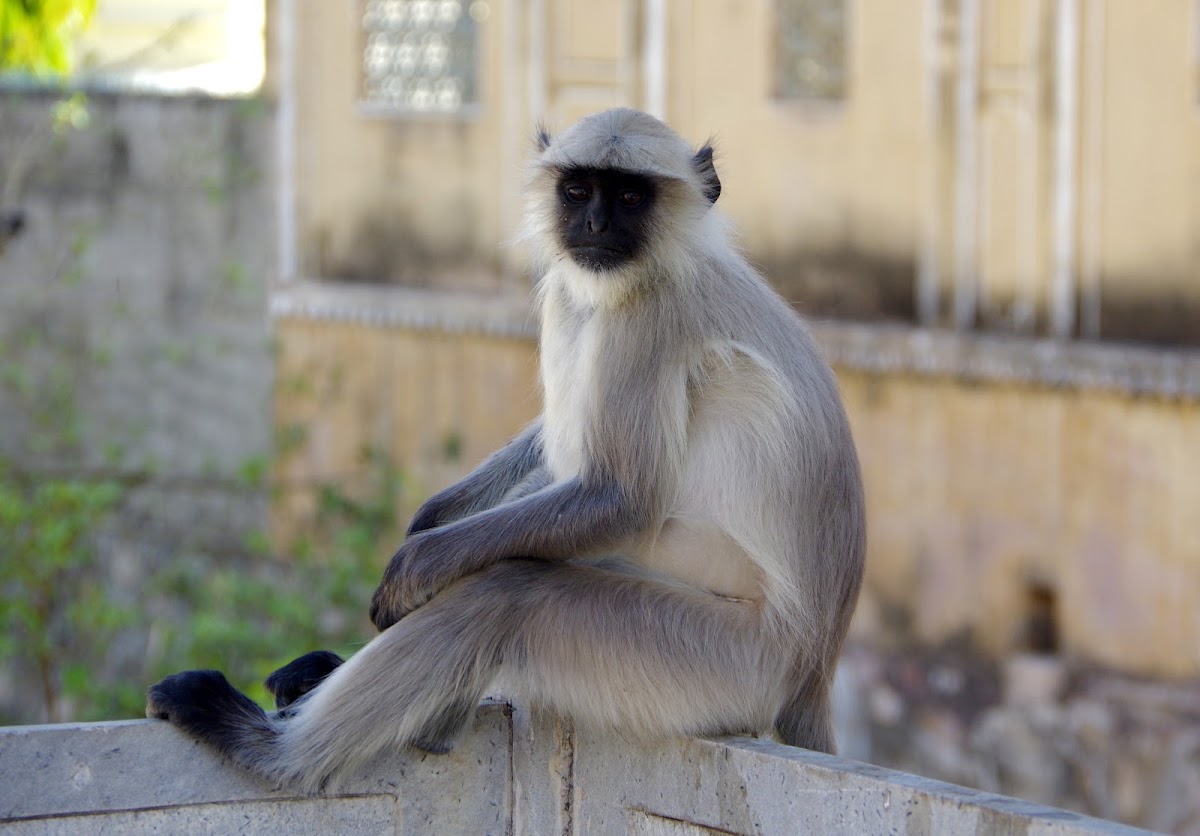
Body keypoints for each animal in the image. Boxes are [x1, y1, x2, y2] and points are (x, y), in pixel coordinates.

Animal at [147, 109, 864, 786]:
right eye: (578, 190)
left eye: (631, 196)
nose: (596, 223)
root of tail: (812, 665)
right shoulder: (572, 290)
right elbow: (553, 449)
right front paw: (427, 521)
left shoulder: (649, 318)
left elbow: (621, 499)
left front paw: (415, 566)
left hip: (723, 660)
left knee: (506, 594)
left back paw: (270, 750)